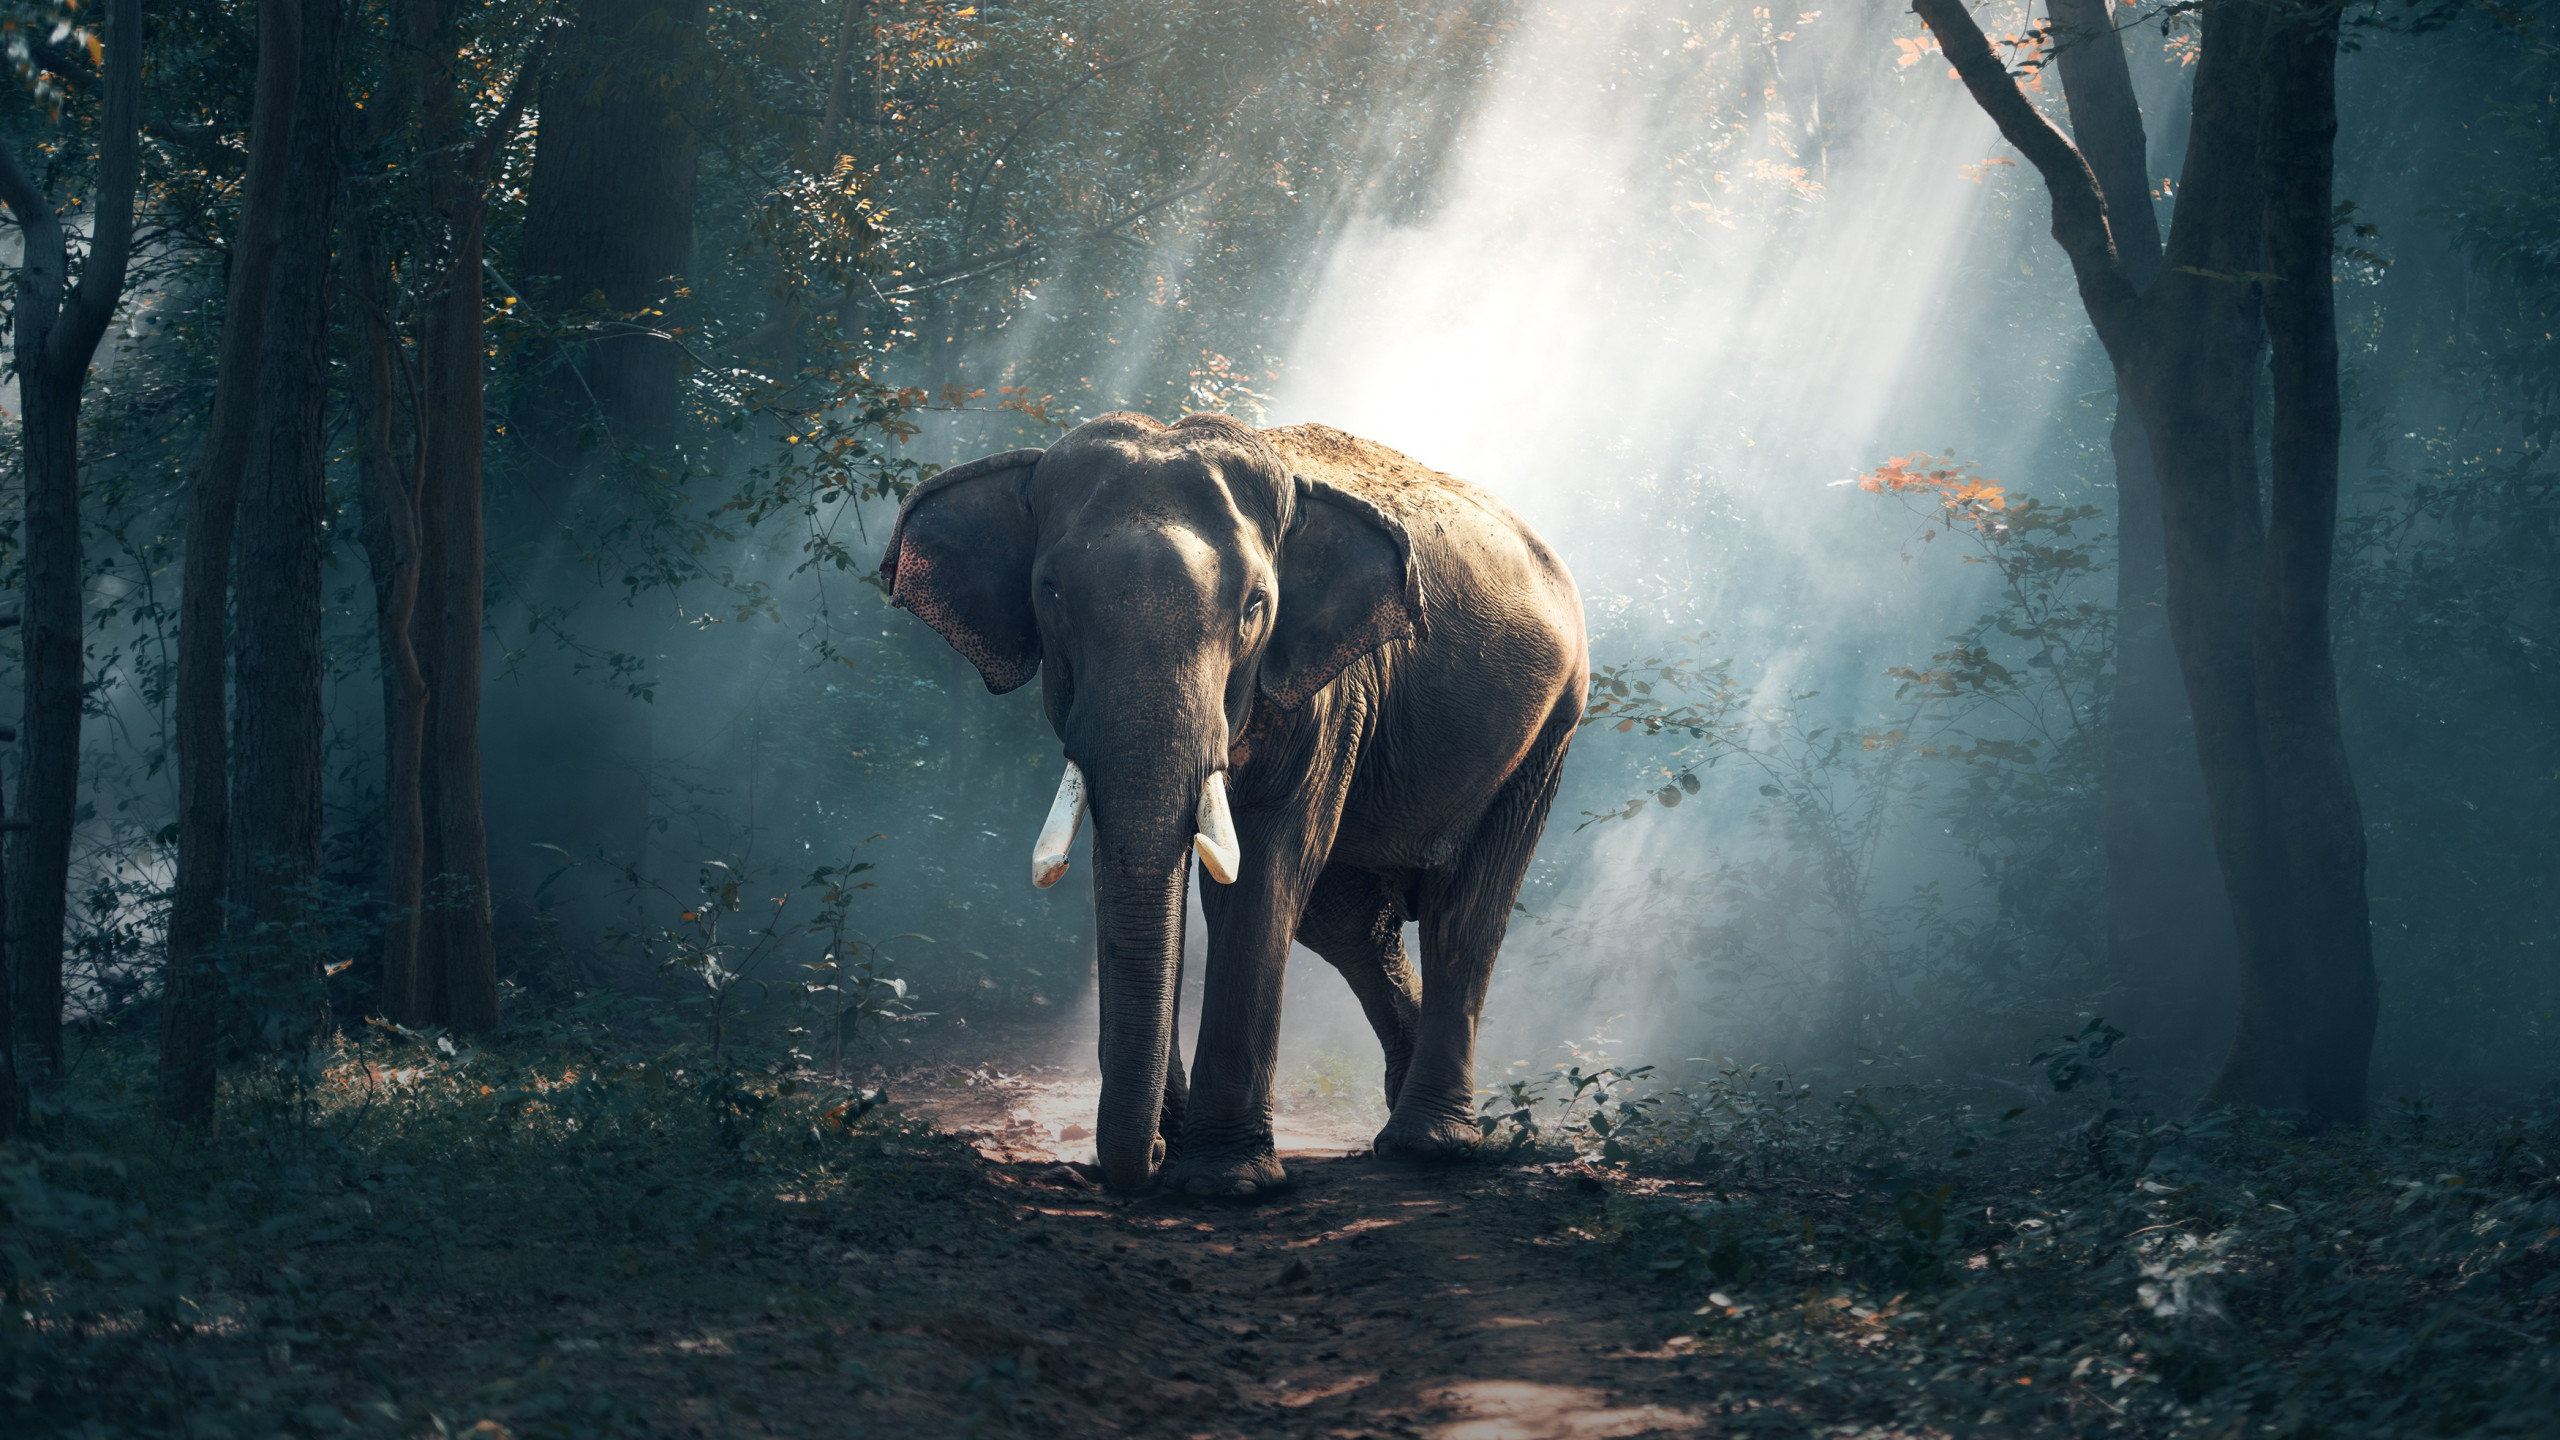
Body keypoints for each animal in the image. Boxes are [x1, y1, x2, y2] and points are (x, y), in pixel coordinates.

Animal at [882, 411, 1586, 1195]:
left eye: (1255, 606)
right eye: (1052, 594)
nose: (1149, 1159)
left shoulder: (1330, 691)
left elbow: (1264, 871)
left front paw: (1226, 1182)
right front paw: (1176, 1145)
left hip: (1548, 732)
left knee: (1464, 912)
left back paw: (1427, 1146)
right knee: (1349, 923)